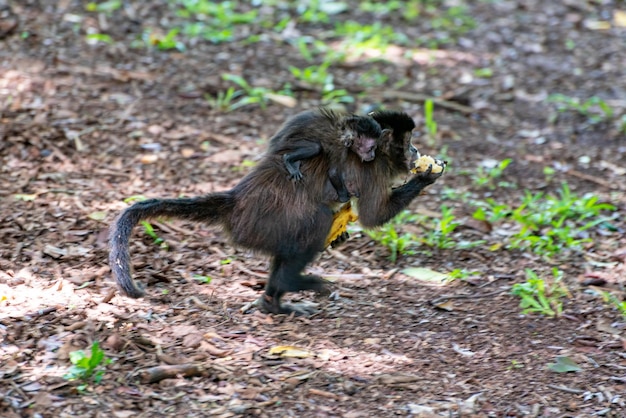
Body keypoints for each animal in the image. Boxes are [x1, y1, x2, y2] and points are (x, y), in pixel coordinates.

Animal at [107, 109, 442, 316]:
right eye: (408, 142)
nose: (415, 152)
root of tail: (237, 200)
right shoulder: (372, 170)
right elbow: (373, 216)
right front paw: (426, 177)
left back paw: (273, 304)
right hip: (261, 224)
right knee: (316, 221)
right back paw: (290, 283)